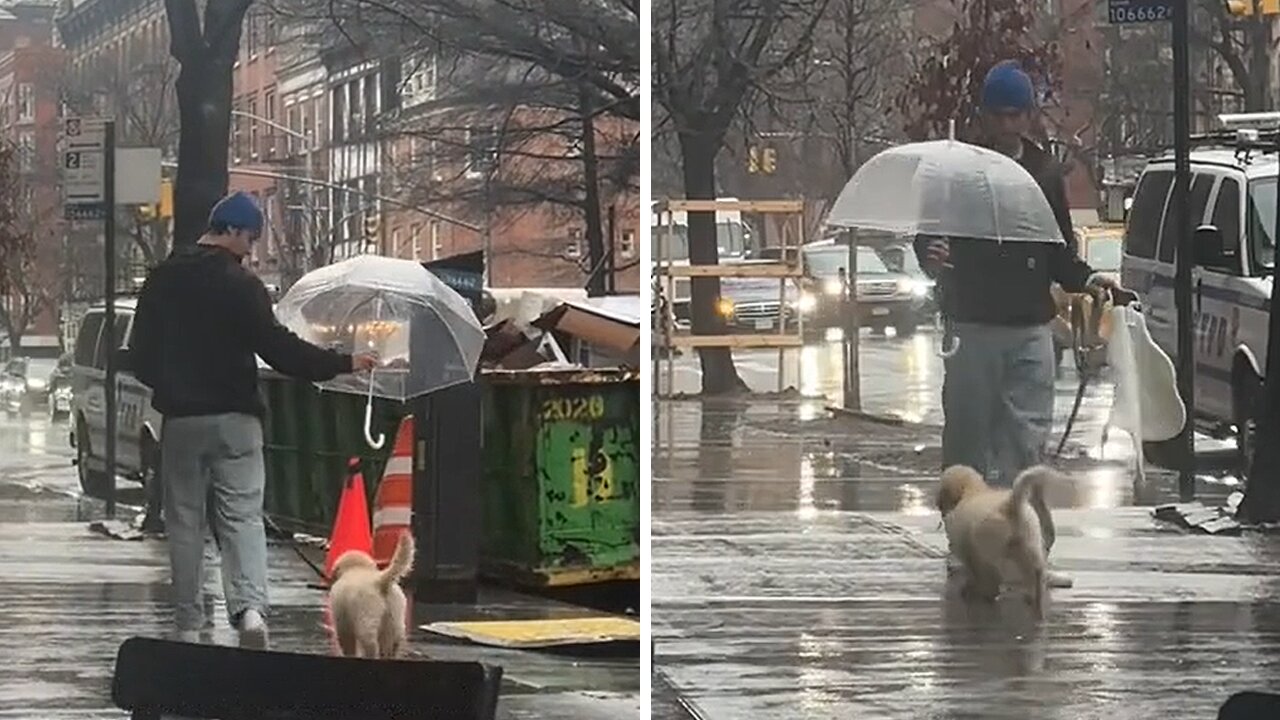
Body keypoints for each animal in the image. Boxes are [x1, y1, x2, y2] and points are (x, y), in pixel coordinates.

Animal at [330, 527, 414, 655]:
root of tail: (381, 581)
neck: (357, 568)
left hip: (366, 619)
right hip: (395, 620)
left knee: (371, 645)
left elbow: (347, 644)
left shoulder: (342, 624)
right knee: (392, 645)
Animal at [936, 461, 1054, 614]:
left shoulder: (969, 550)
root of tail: (1010, 505)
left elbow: (973, 569)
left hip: (991, 549)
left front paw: (971, 587)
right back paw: (1035, 598)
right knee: (1037, 571)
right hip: (1030, 542)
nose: (940, 509)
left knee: (993, 574)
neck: (972, 490)